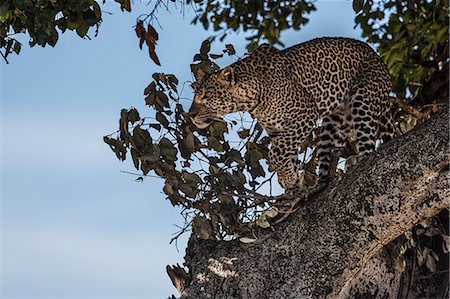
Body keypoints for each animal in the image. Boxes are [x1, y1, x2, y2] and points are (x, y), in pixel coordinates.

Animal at [187, 37, 394, 195]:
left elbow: (276, 153)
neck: (251, 97)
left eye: (206, 96)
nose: (190, 115)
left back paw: (359, 160)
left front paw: (287, 179)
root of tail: (378, 58)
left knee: (368, 144)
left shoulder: (304, 114)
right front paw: (291, 185)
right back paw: (320, 184)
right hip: (335, 122)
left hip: (362, 100)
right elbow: (287, 155)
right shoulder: (277, 130)